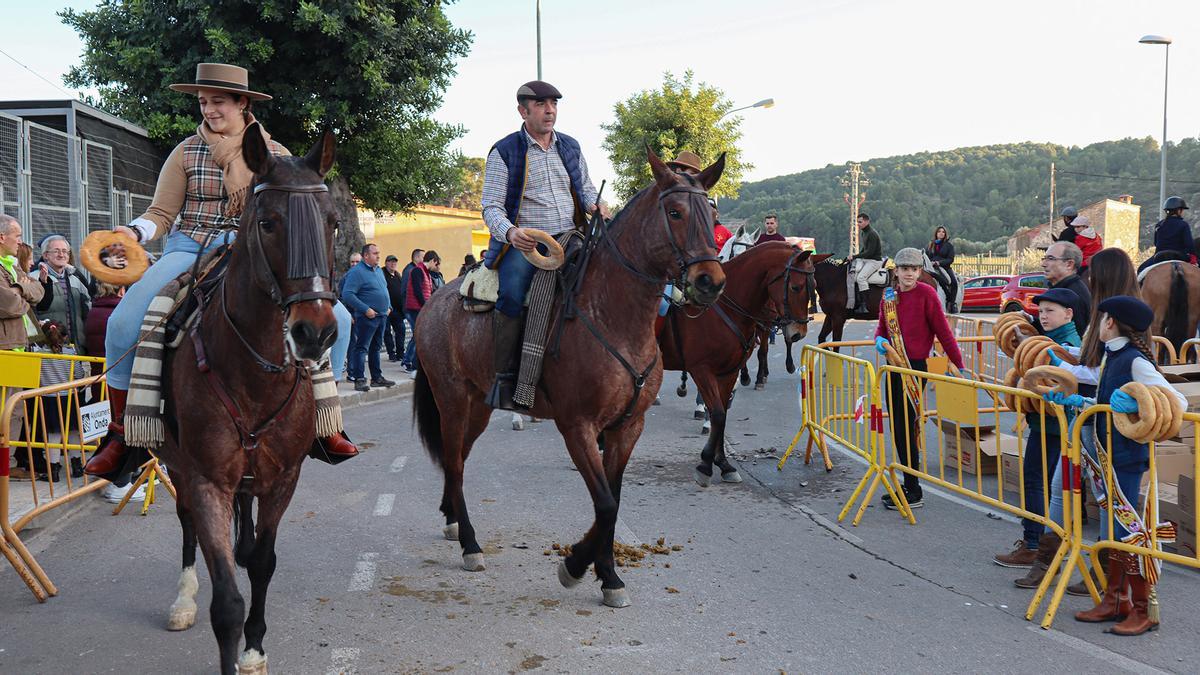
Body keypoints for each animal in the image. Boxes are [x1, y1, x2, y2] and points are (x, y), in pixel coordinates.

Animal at [154, 126, 340, 672]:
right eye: (268, 223)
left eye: (332, 223)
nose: (315, 333)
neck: (256, 374)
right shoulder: (206, 478)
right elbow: (227, 603)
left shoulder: (284, 478)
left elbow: (261, 562)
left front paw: (255, 648)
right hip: (176, 464)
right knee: (187, 524)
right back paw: (183, 598)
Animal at [412, 149, 724, 607]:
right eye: (675, 212)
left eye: (712, 214)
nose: (710, 282)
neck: (611, 315)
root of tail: (434, 303)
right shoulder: (578, 427)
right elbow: (606, 504)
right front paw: (575, 567)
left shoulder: (627, 426)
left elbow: (613, 499)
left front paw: (608, 575)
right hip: (450, 399)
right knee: (453, 459)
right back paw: (470, 544)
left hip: (477, 406)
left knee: (460, 461)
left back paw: (451, 518)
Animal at [657, 241, 825, 482]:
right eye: (796, 287)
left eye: (815, 285)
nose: (798, 333)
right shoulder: (701, 369)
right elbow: (717, 413)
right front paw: (705, 464)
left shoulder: (728, 372)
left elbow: (722, 414)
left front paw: (724, 464)